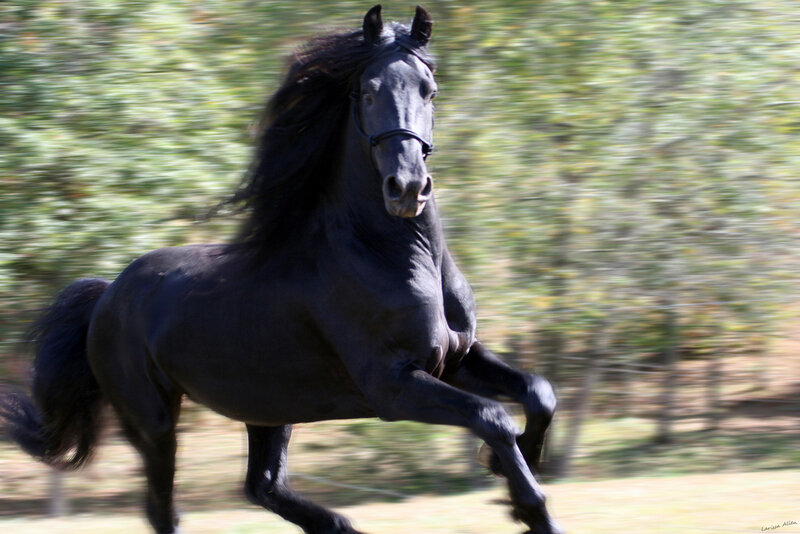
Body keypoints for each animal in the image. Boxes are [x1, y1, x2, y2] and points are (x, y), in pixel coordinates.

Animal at [1, 6, 562, 534]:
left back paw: (337, 525)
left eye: (430, 91)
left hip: (269, 406)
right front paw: (529, 508)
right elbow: (492, 417)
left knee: (262, 484)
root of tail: (106, 296)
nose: (406, 188)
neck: (395, 257)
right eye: (367, 92)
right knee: (167, 510)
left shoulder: (457, 357)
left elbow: (538, 393)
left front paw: (517, 465)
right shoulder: (392, 386)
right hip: (154, 421)